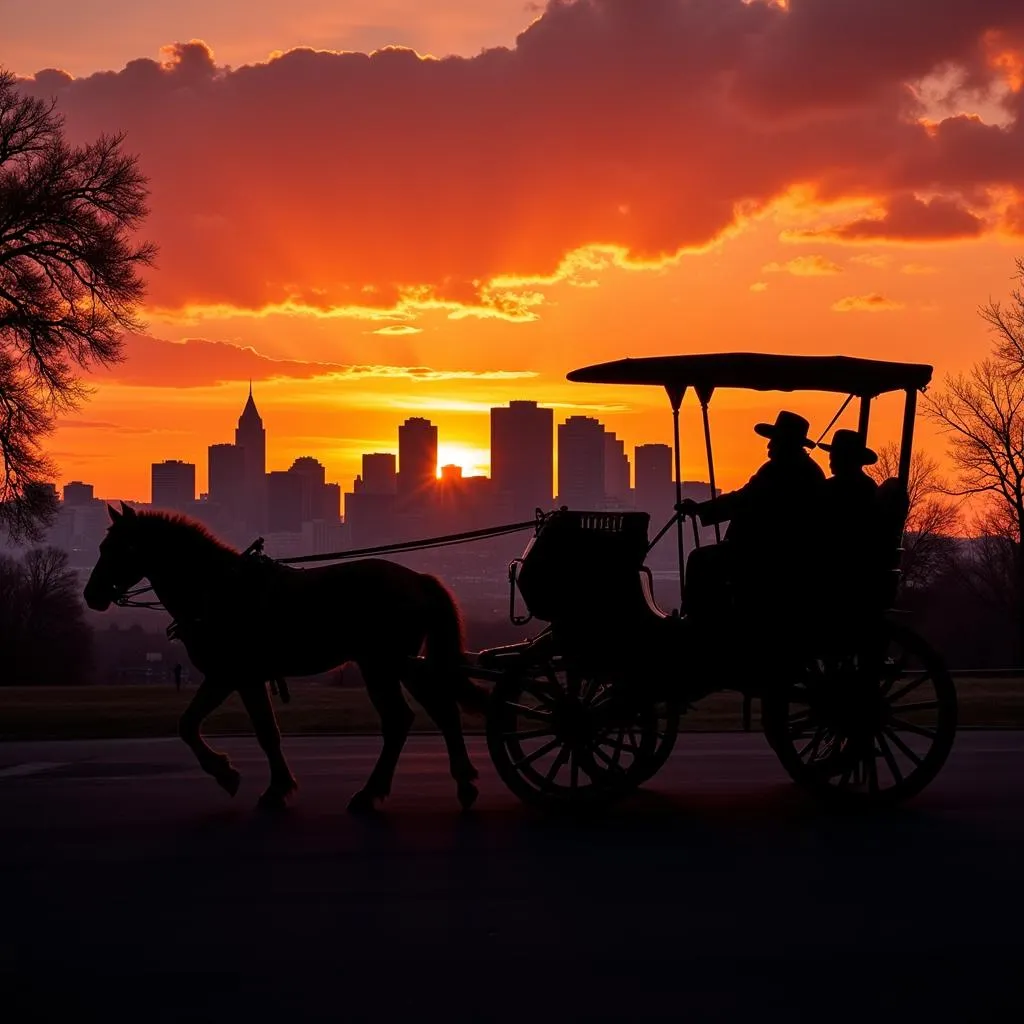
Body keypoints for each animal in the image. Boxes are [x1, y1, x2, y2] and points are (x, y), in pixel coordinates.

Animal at [83, 499, 487, 811]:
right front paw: (245, 777)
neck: (216, 590)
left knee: (401, 719)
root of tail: (418, 579)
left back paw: (371, 793)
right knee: (442, 711)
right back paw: (463, 783)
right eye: (102, 547)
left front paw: (249, 781)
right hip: (404, 665)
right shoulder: (230, 678)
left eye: (122, 548)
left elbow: (255, 731)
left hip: (382, 666)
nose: (92, 595)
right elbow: (198, 725)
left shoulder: (235, 676)